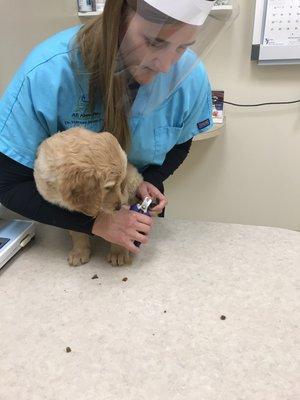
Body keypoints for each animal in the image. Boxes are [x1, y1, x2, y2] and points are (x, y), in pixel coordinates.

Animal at [33, 126, 144, 268]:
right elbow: (77, 232)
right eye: (108, 187)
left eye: (120, 183)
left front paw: (118, 252)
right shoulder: (73, 210)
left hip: (133, 180)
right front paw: (79, 252)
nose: (118, 207)